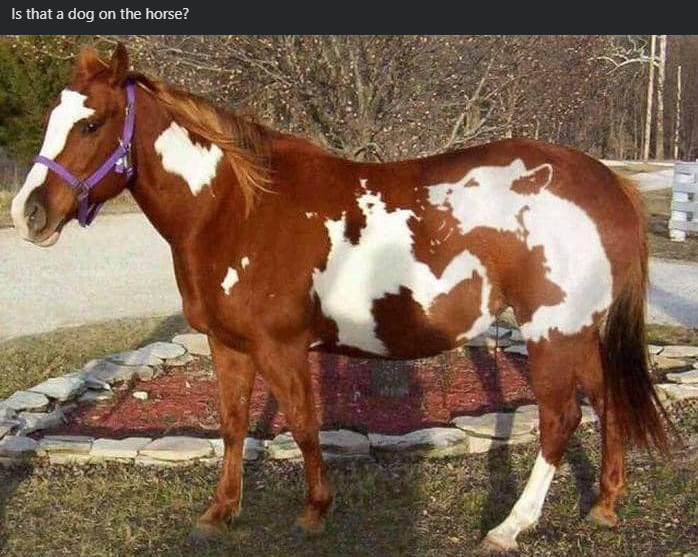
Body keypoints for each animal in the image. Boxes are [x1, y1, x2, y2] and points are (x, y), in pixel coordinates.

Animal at [10, 44, 669, 552]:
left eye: (92, 124)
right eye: (53, 117)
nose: (29, 214)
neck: (236, 209)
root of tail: (606, 181)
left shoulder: (281, 348)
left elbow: (304, 425)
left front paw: (314, 511)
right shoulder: (227, 345)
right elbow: (231, 426)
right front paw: (219, 514)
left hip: (551, 330)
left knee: (560, 419)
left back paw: (510, 527)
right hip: (577, 330)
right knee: (606, 400)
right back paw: (605, 503)